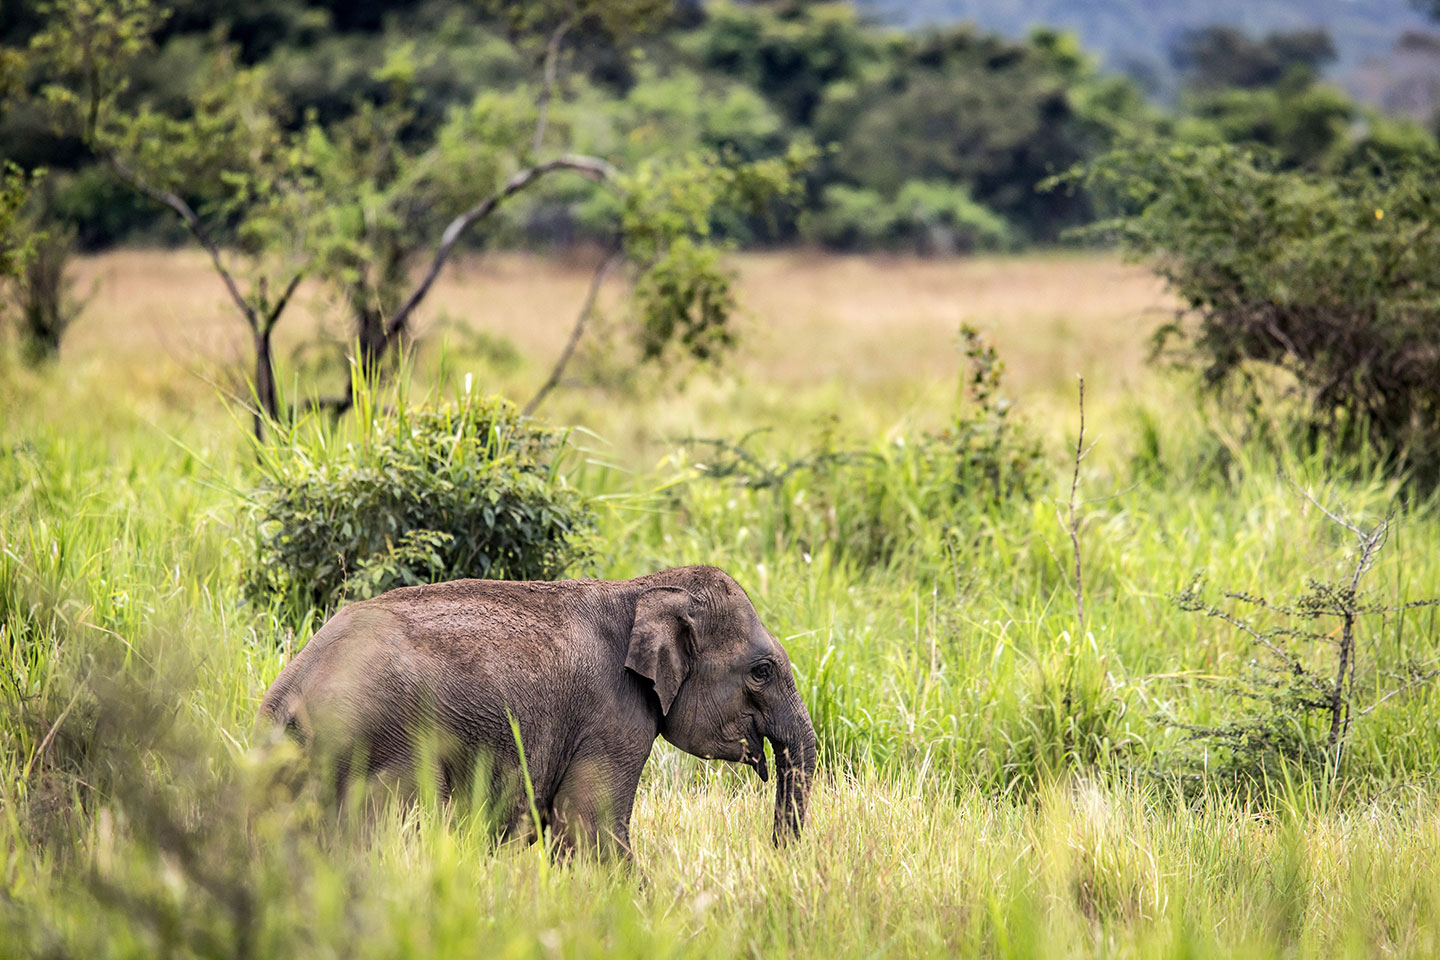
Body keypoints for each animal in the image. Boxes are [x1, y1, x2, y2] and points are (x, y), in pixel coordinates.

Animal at [257, 565, 817, 857]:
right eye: (761, 671)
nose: (773, 855)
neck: (645, 587)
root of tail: (292, 688)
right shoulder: (612, 714)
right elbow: (589, 825)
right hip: (386, 742)